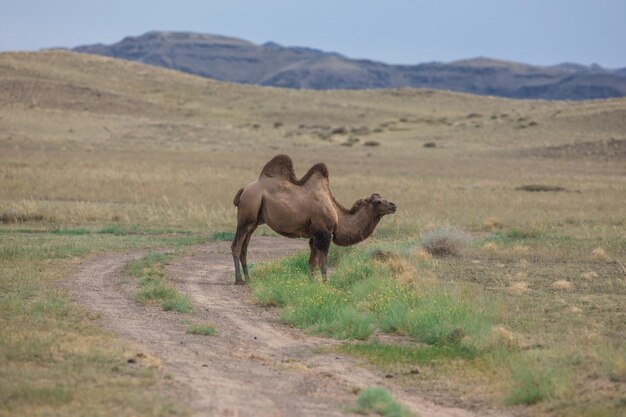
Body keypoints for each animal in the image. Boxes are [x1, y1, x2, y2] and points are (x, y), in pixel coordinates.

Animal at [229, 154, 394, 284]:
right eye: (377, 202)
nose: (393, 205)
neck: (337, 214)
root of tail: (244, 189)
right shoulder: (324, 233)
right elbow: (323, 261)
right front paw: (325, 283)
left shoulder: (314, 235)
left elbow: (311, 262)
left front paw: (311, 282)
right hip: (247, 215)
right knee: (236, 246)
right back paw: (239, 280)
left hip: (254, 223)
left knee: (244, 247)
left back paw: (249, 278)